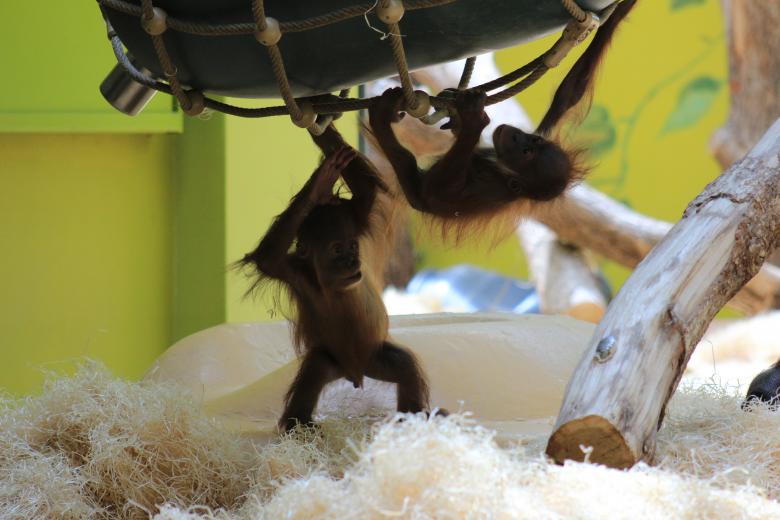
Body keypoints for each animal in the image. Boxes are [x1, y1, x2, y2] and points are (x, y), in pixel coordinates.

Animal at [236, 128, 431, 432]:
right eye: (337, 250)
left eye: (353, 246)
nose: (353, 262)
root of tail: (356, 373)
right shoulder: (291, 270)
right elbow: (268, 256)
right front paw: (319, 184)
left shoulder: (359, 220)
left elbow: (367, 190)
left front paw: (326, 165)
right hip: (333, 359)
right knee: (314, 371)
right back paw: (299, 424)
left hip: (374, 355)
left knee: (403, 365)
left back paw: (411, 420)